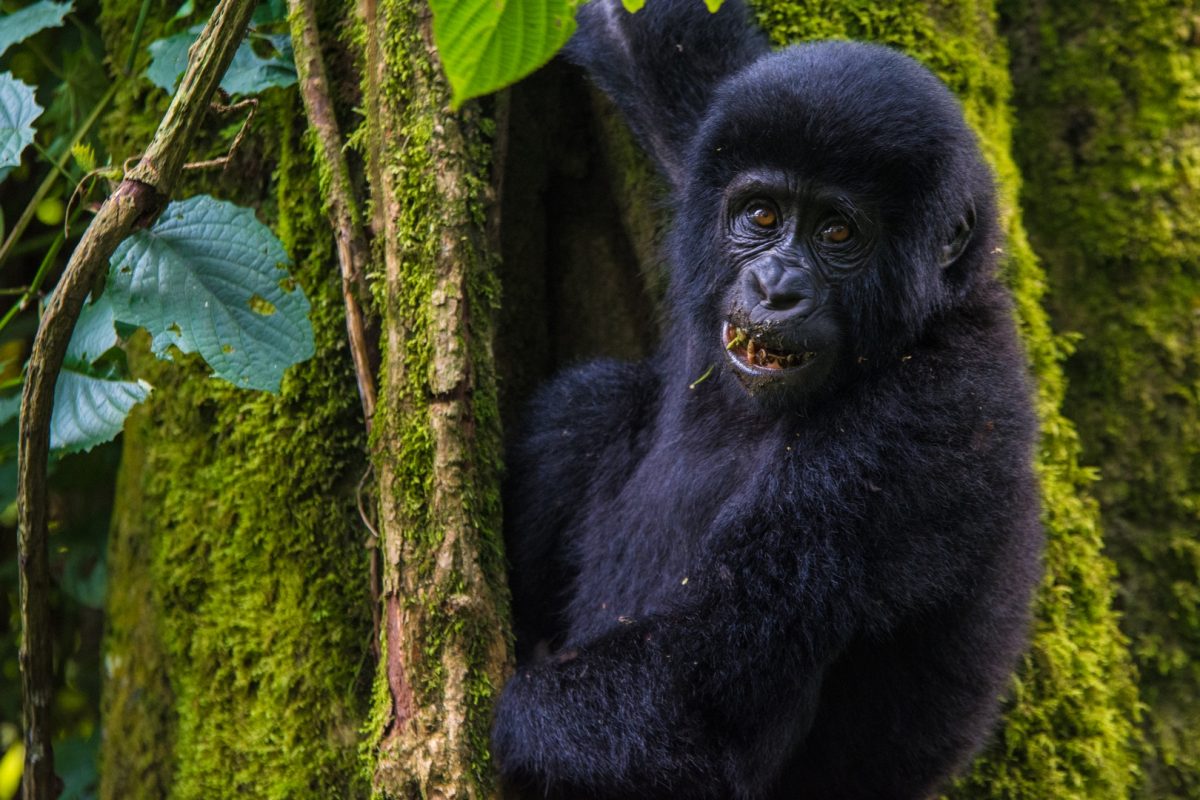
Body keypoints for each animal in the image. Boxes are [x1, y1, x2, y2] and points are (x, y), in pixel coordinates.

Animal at [492, 3, 1046, 796]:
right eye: (761, 216)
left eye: (837, 230)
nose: (776, 286)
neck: (928, 319)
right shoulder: (718, 134)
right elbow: (647, 38)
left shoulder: (922, 421)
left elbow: (686, 702)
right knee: (590, 401)